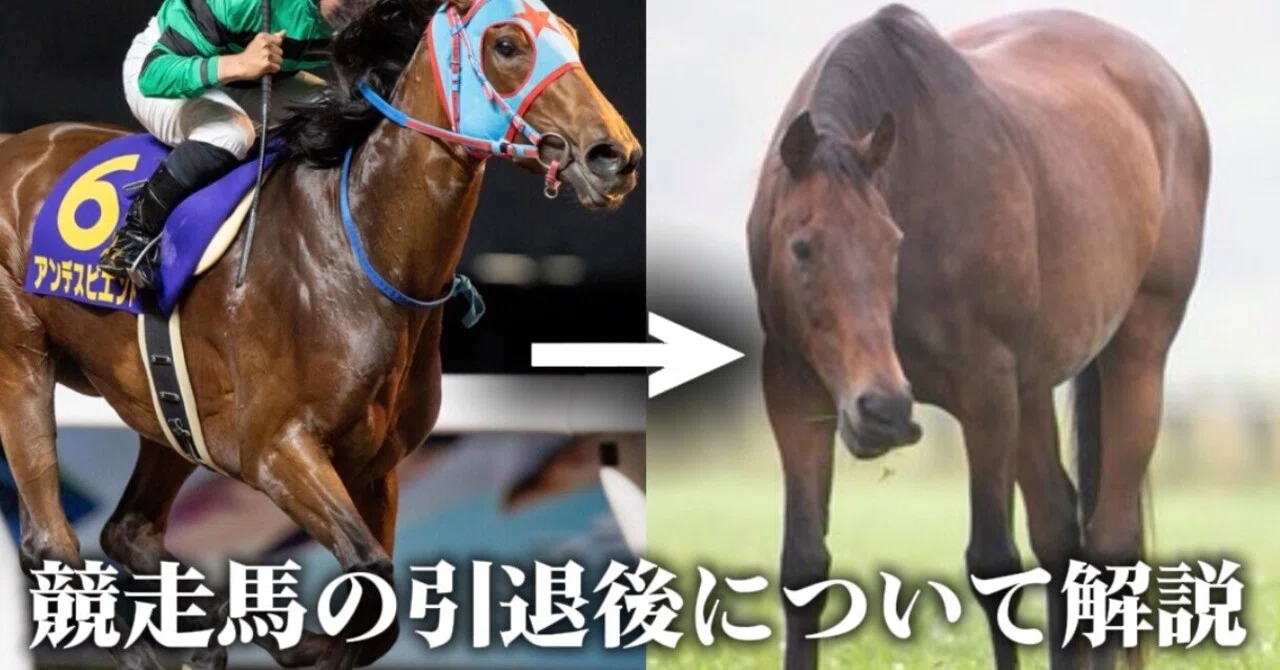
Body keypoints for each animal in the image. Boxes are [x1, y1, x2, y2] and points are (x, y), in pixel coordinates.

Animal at [0, 0, 640, 668]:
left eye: (572, 37)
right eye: (508, 44)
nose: (613, 155)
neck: (358, 245)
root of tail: (15, 145)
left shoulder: (374, 466)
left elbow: (377, 611)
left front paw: (288, 635)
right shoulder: (276, 450)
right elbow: (369, 568)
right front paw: (297, 640)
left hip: (170, 405)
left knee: (129, 529)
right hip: (21, 352)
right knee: (51, 543)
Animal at [747, 5, 1208, 669]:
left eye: (892, 243)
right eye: (802, 246)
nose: (883, 411)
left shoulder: (986, 392)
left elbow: (993, 565)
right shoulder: (793, 389)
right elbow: (804, 567)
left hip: (1137, 355)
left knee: (1109, 540)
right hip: (1032, 388)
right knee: (1060, 531)